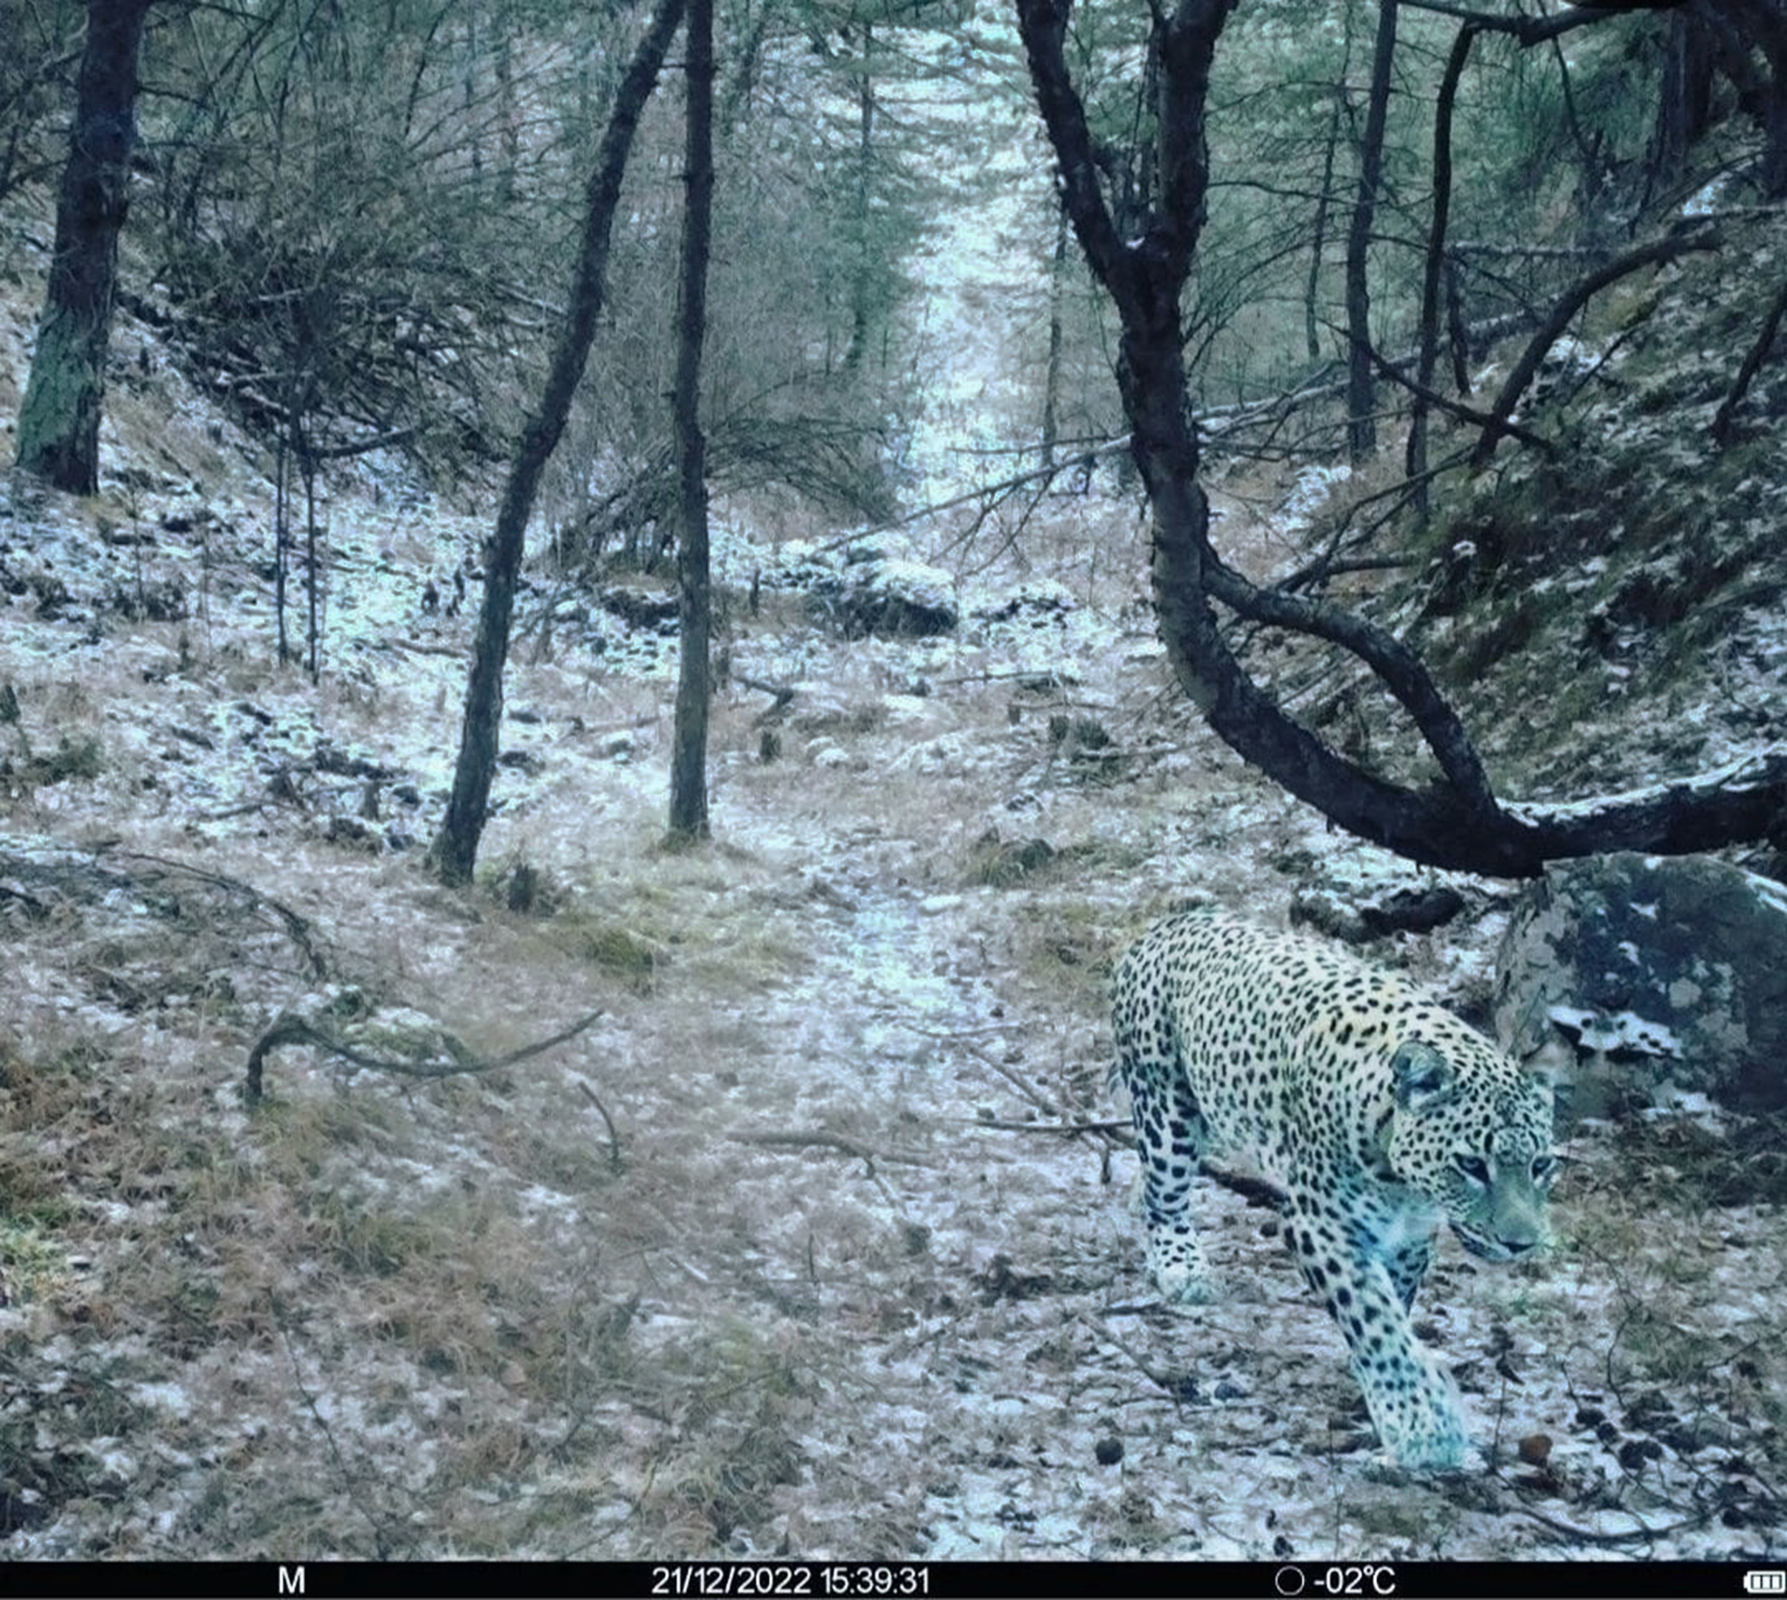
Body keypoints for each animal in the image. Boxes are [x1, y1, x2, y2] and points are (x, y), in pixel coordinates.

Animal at [1107, 908, 1558, 1473]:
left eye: (1541, 1164)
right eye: (1473, 1165)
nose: (1521, 1244)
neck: (1406, 1182)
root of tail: (1173, 920)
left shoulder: (1411, 1237)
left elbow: (1395, 1303)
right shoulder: (1320, 1227)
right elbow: (1373, 1317)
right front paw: (1424, 1429)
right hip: (1168, 1108)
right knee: (1165, 1193)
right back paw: (1181, 1266)